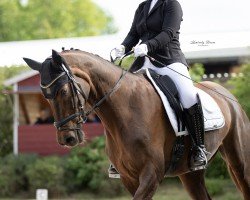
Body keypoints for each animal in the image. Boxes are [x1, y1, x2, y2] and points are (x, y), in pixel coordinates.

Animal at [24, 48, 250, 200]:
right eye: (45, 96)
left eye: (63, 91)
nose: (67, 138)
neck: (125, 109)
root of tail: (229, 96)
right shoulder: (129, 177)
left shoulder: (151, 174)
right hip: (190, 173)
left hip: (239, 162)